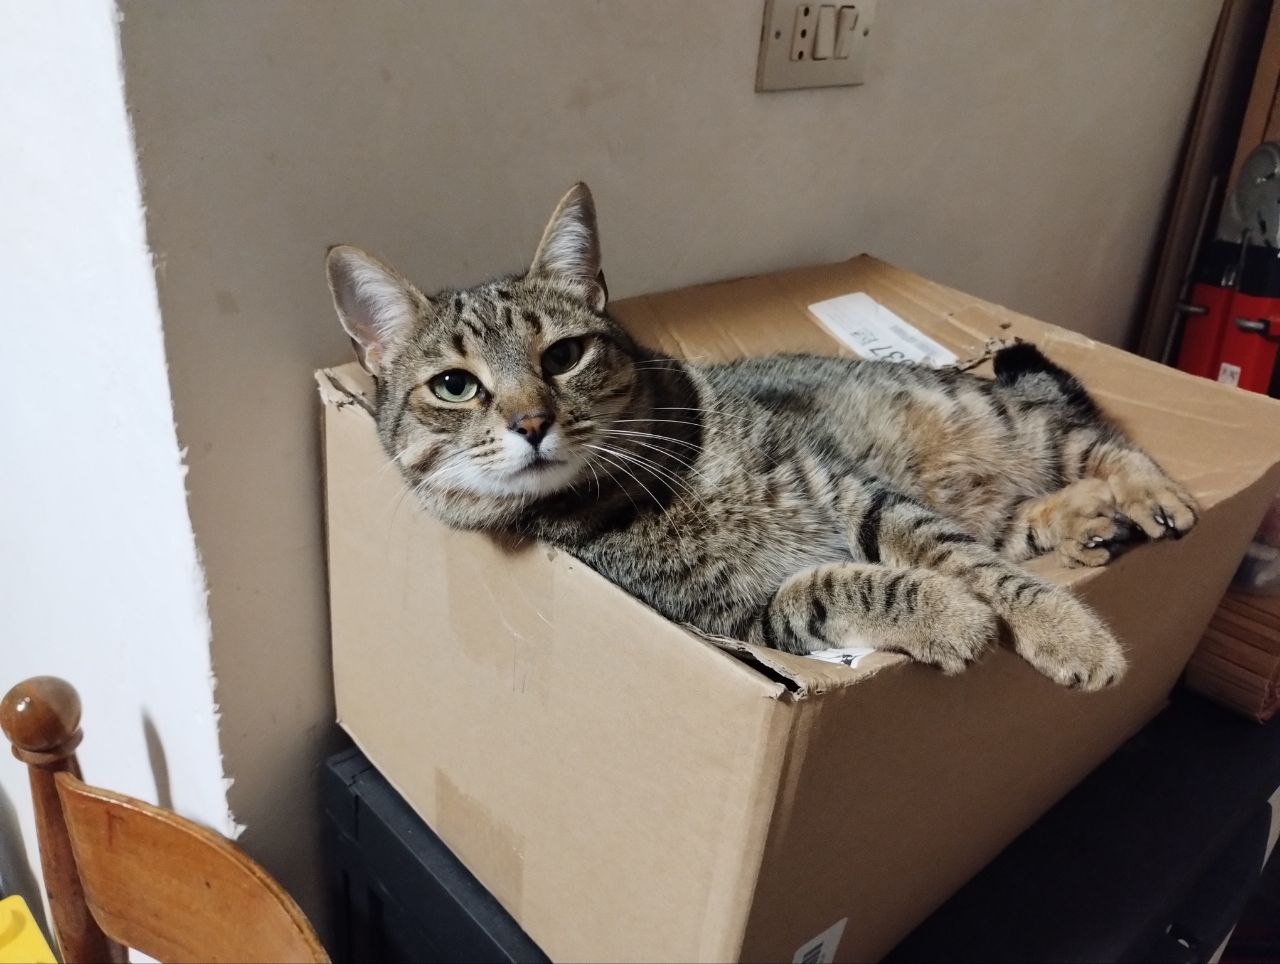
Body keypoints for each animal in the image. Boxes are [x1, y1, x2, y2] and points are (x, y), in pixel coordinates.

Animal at [325, 183, 1198, 690]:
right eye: (454, 386)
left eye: (564, 356)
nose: (531, 422)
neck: (637, 486)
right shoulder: (736, 621)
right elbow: (835, 585)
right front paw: (952, 619)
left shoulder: (859, 495)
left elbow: (973, 567)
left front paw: (1067, 632)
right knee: (1027, 518)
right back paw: (1087, 522)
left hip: (1013, 423)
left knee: (1096, 442)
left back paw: (1153, 497)